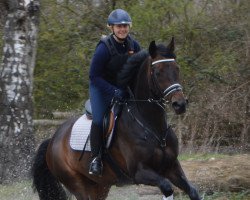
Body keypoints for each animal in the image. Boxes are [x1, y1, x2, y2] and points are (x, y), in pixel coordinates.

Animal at [31, 37, 201, 200]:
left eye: (177, 69)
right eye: (158, 72)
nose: (180, 104)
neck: (152, 127)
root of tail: (53, 139)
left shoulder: (171, 167)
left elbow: (193, 192)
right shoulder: (139, 172)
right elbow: (167, 187)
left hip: (100, 186)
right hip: (76, 183)